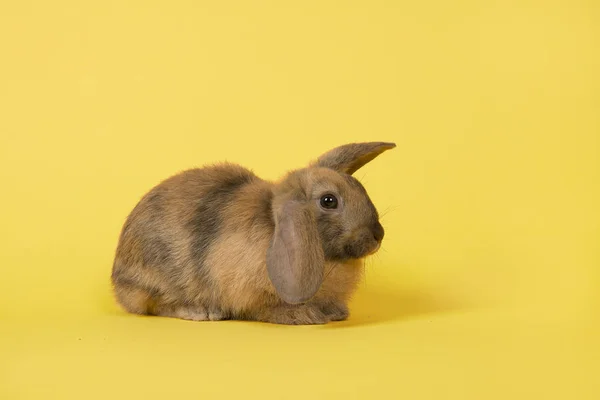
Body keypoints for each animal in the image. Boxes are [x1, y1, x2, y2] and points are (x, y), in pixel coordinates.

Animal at [110, 142, 396, 324]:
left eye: (359, 187)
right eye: (328, 201)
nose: (377, 235)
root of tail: (118, 277)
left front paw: (336, 312)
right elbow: (265, 308)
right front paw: (304, 316)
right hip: (154, 279)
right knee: (154, 305)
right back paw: (200, 312)